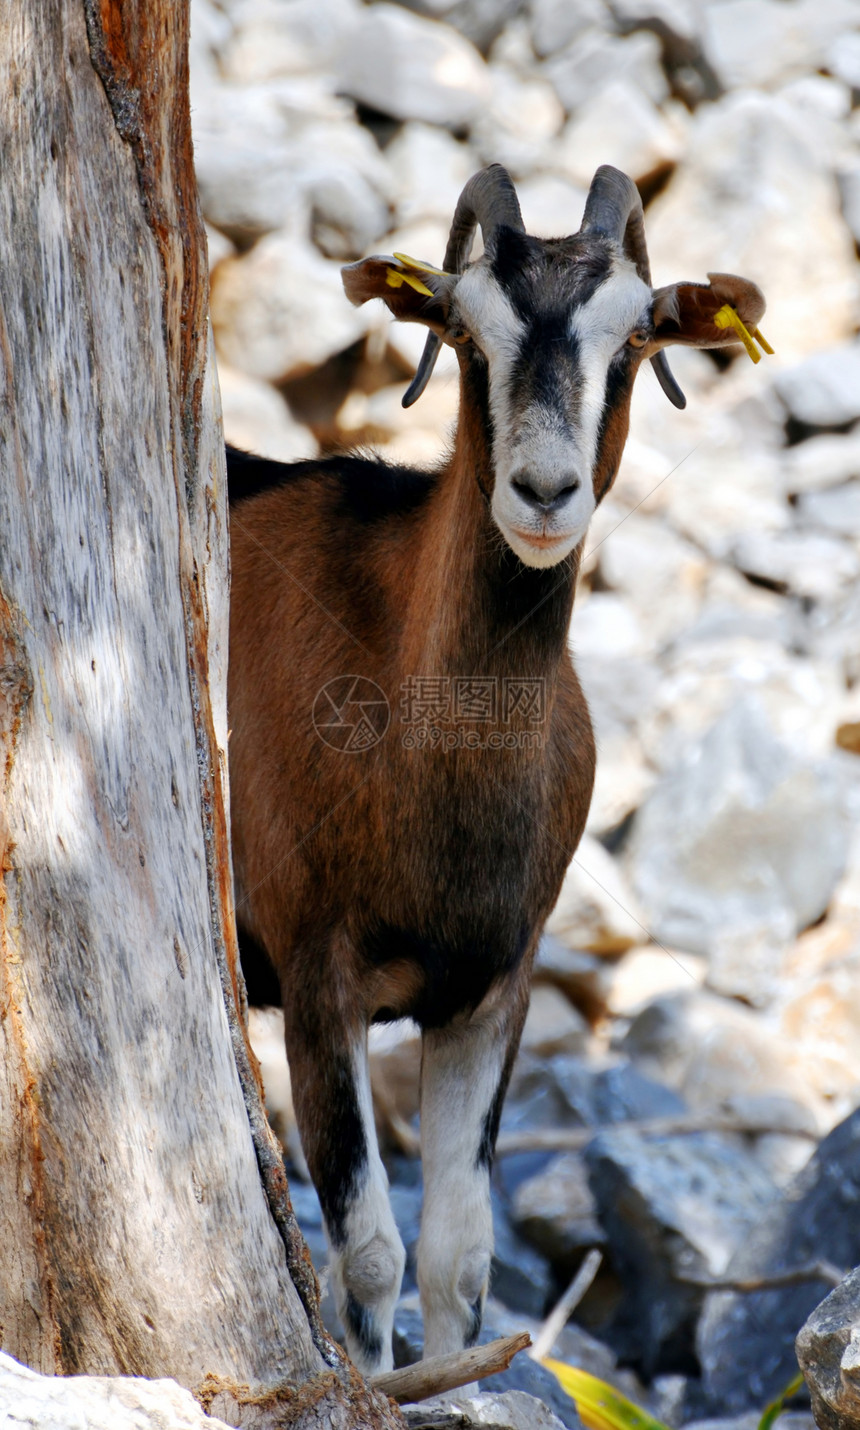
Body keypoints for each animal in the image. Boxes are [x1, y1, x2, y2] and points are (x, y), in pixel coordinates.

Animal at [223, 164, 766, 1372]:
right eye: (466, 336)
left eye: (633, 340)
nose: (543, 492)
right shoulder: (317, 974)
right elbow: (370, 1258)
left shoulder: (488, 987)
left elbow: (458, 1261)